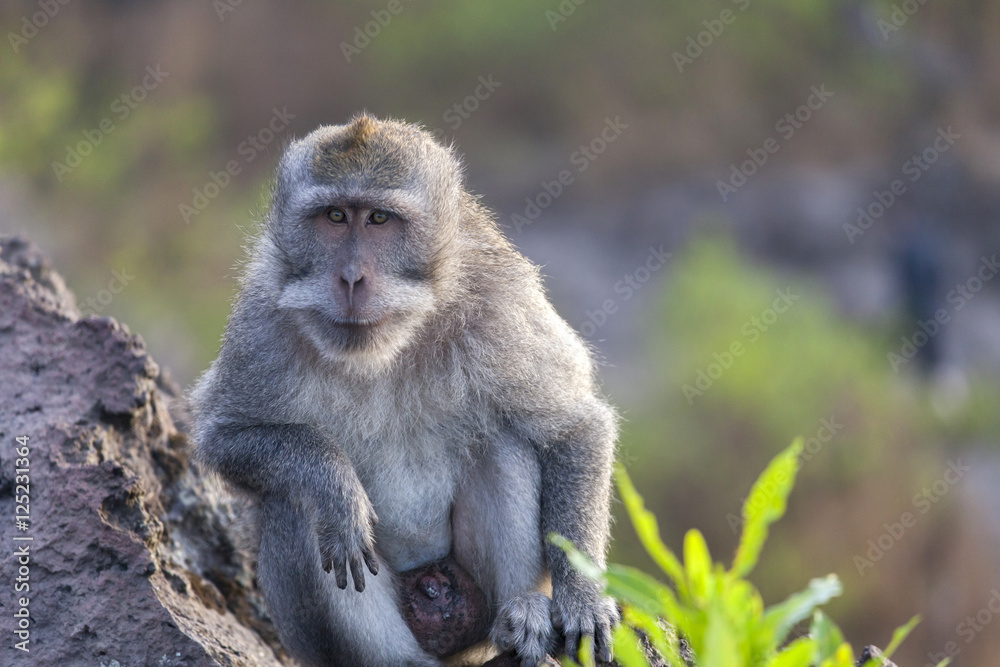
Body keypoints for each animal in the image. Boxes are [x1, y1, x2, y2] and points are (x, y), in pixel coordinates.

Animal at [189, 115, 616, 667]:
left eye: (378, 219)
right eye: (334, 216)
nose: (351, 278)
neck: (390, 339)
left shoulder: (500, 301)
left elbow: (572, 428)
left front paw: (581, 597)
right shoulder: (262, 319)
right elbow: (225, 438)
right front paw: (331, 480)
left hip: (466, 607)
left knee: (502, 444)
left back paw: (521, 617)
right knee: (296, 502)